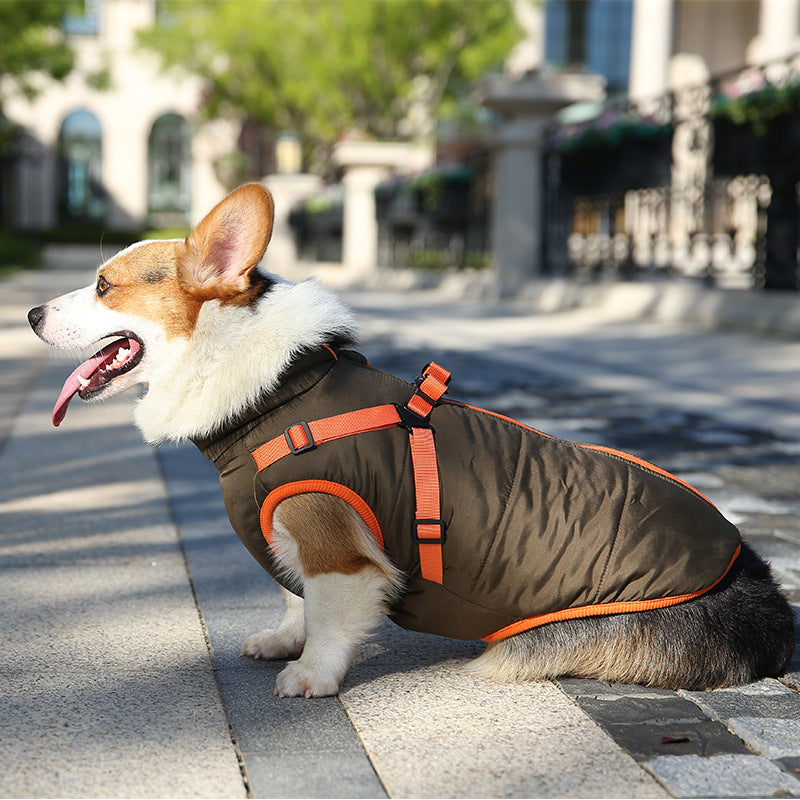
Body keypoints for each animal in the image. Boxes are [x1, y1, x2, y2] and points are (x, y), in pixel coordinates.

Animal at [28, 184, 796, 696]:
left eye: (103, 286)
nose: (31, 311)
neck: (278, 390)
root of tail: (763, 596)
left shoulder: (336, 547)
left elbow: (329, 617)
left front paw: (310, 675)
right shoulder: (294, 540)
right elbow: (294, 597)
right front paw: (283, 641)